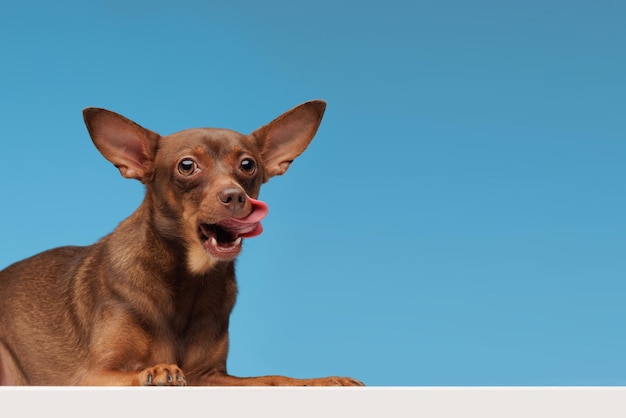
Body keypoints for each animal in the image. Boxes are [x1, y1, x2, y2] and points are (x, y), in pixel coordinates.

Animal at [0, 100, 360, 386]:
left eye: (247, 165)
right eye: (187, 166)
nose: (235, 196)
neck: (188, 279)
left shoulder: (208, 376)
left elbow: (272, 379)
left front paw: (325, 381)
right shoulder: (94, 375)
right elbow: (138, 372)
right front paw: (156, 371)